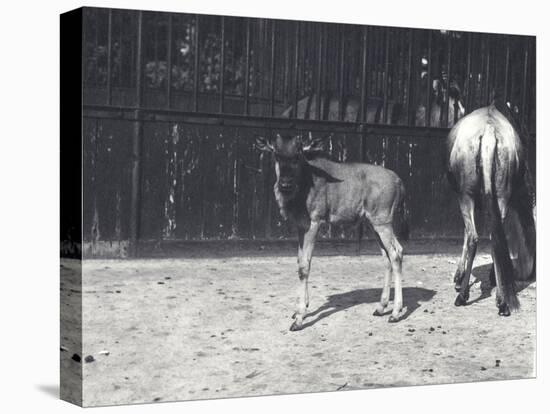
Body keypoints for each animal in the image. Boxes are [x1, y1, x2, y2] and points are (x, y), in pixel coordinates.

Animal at [256, 133, 410, 330]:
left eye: (298, 154)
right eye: (276, 153)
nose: (285, 184)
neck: (306, 180)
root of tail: (399, 181)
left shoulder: (314, 223)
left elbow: (304, 266)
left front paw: (300, 317)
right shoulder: (301, 227)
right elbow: (300, 260)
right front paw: (299, 309)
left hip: (383, 222)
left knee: (396, 253)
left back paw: (396, 313)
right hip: (373, 224)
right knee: (387, 257)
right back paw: (381, 307)